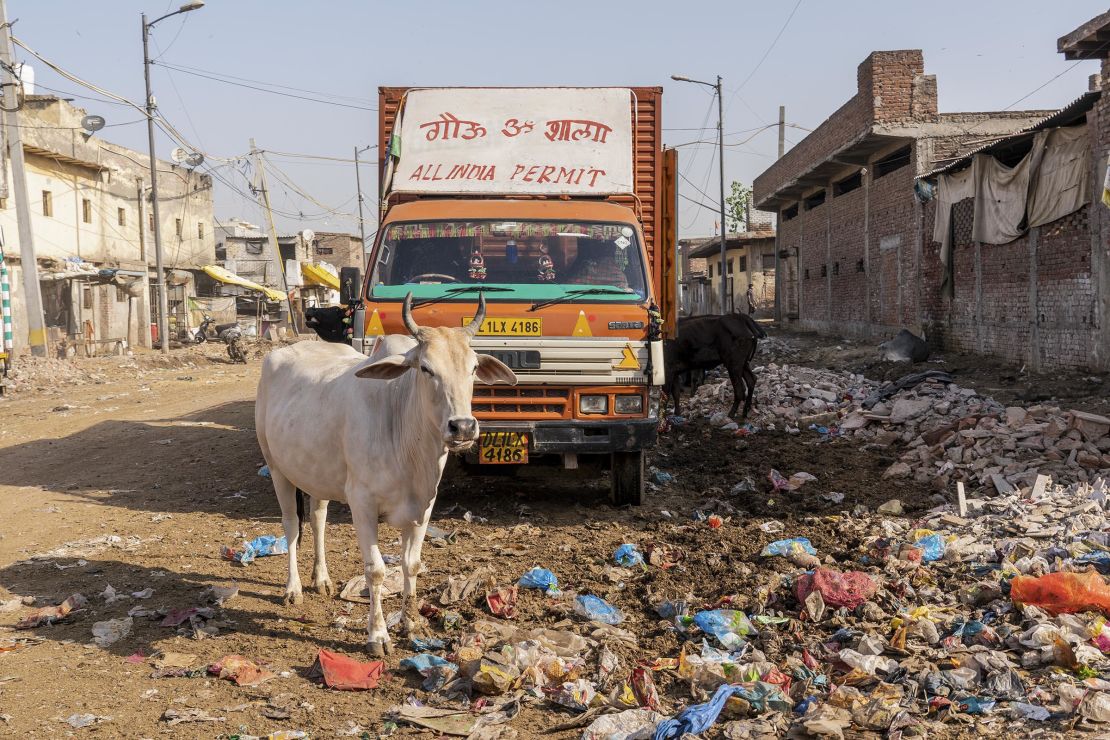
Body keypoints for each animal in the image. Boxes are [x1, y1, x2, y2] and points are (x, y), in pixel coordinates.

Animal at [257, 292, 517, 652]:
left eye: (474, 368)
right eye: (426, 368)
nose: (463, 427)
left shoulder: (424, 506)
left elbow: (412, 564)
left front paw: (412, 623)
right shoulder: (362, 504)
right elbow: (376, 570)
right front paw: (378, 634)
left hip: (315, 473)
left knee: (318, 518)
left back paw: (321, 579)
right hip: (277, 467)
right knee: (292, 525)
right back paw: (293, 588)